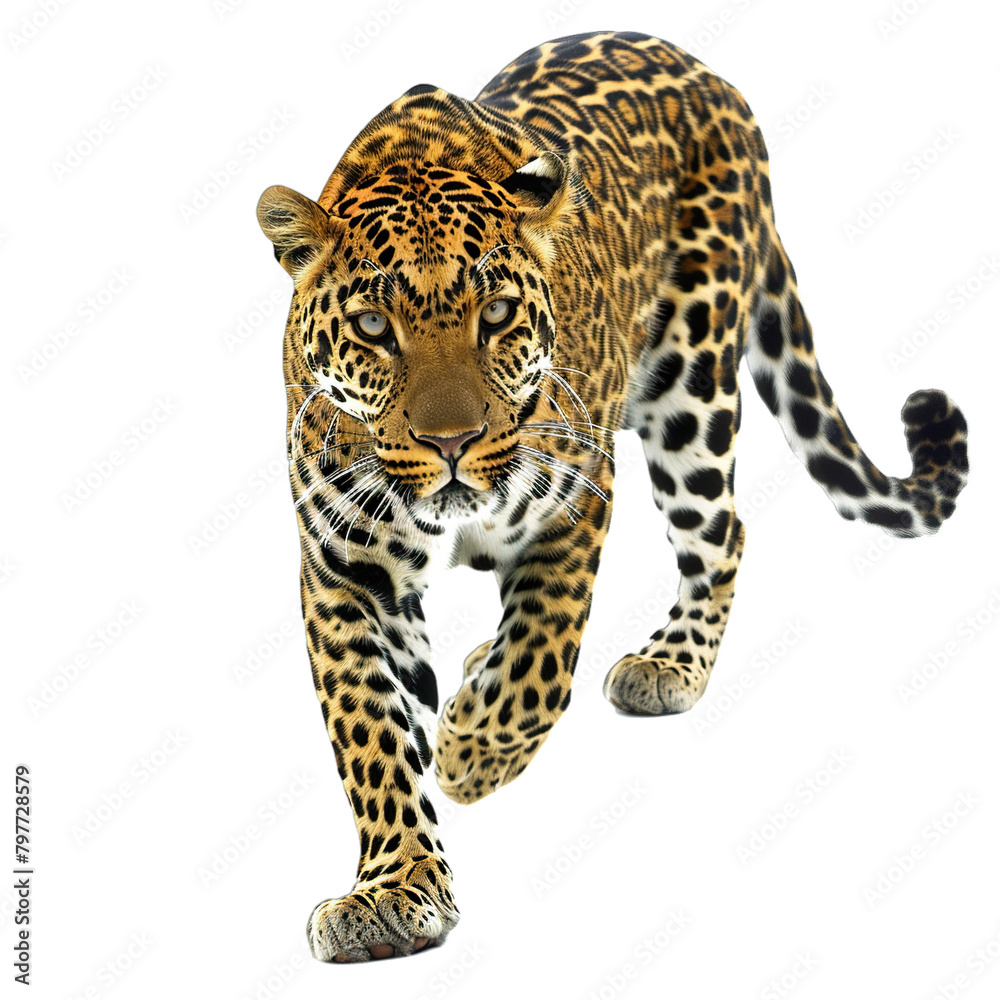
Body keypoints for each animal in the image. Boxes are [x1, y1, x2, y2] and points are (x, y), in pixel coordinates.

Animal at [255, 31, 969, 963]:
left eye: (496, 314)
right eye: (375, 329)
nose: (450, 444)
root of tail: (706, 70)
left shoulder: (574, 503)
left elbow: (540, 664)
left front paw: (471, 754)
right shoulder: (343, 567)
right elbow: (369, 735)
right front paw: (392, 888)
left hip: (693, 387)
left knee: (724, 533)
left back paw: (665, 667)